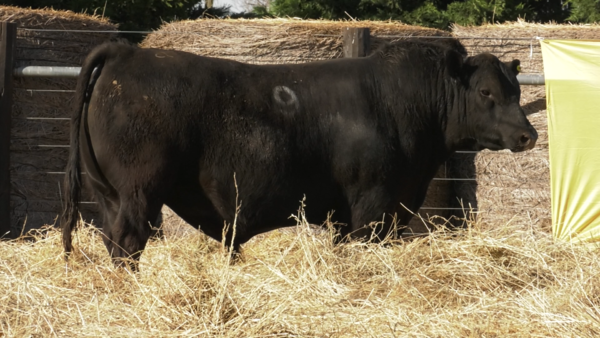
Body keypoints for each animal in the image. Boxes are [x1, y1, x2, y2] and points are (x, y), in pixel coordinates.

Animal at [62, 40, 540, 266]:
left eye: (516, 91)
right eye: (486, 92)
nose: (527, 135)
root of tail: (126, 51)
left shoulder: (349, 214)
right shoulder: (373, 206)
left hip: (109, 195)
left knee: (113, 243)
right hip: (136, 193)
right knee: (128, 244)